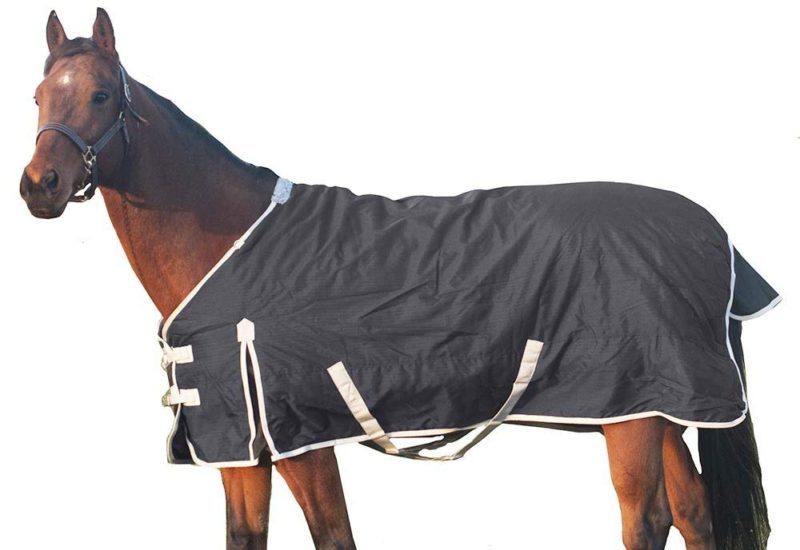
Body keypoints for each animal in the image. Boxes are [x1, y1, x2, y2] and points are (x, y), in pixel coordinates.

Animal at [20, 9, 772, 550]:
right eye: (36, 96)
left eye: (101, 94)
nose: (38, 187)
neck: (227, 240)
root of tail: (711, 234)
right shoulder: (238, 448)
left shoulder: (303, 439)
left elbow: (334, 537)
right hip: (654, 407)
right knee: (696, 514)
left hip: (634, 415)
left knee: (647, 522)